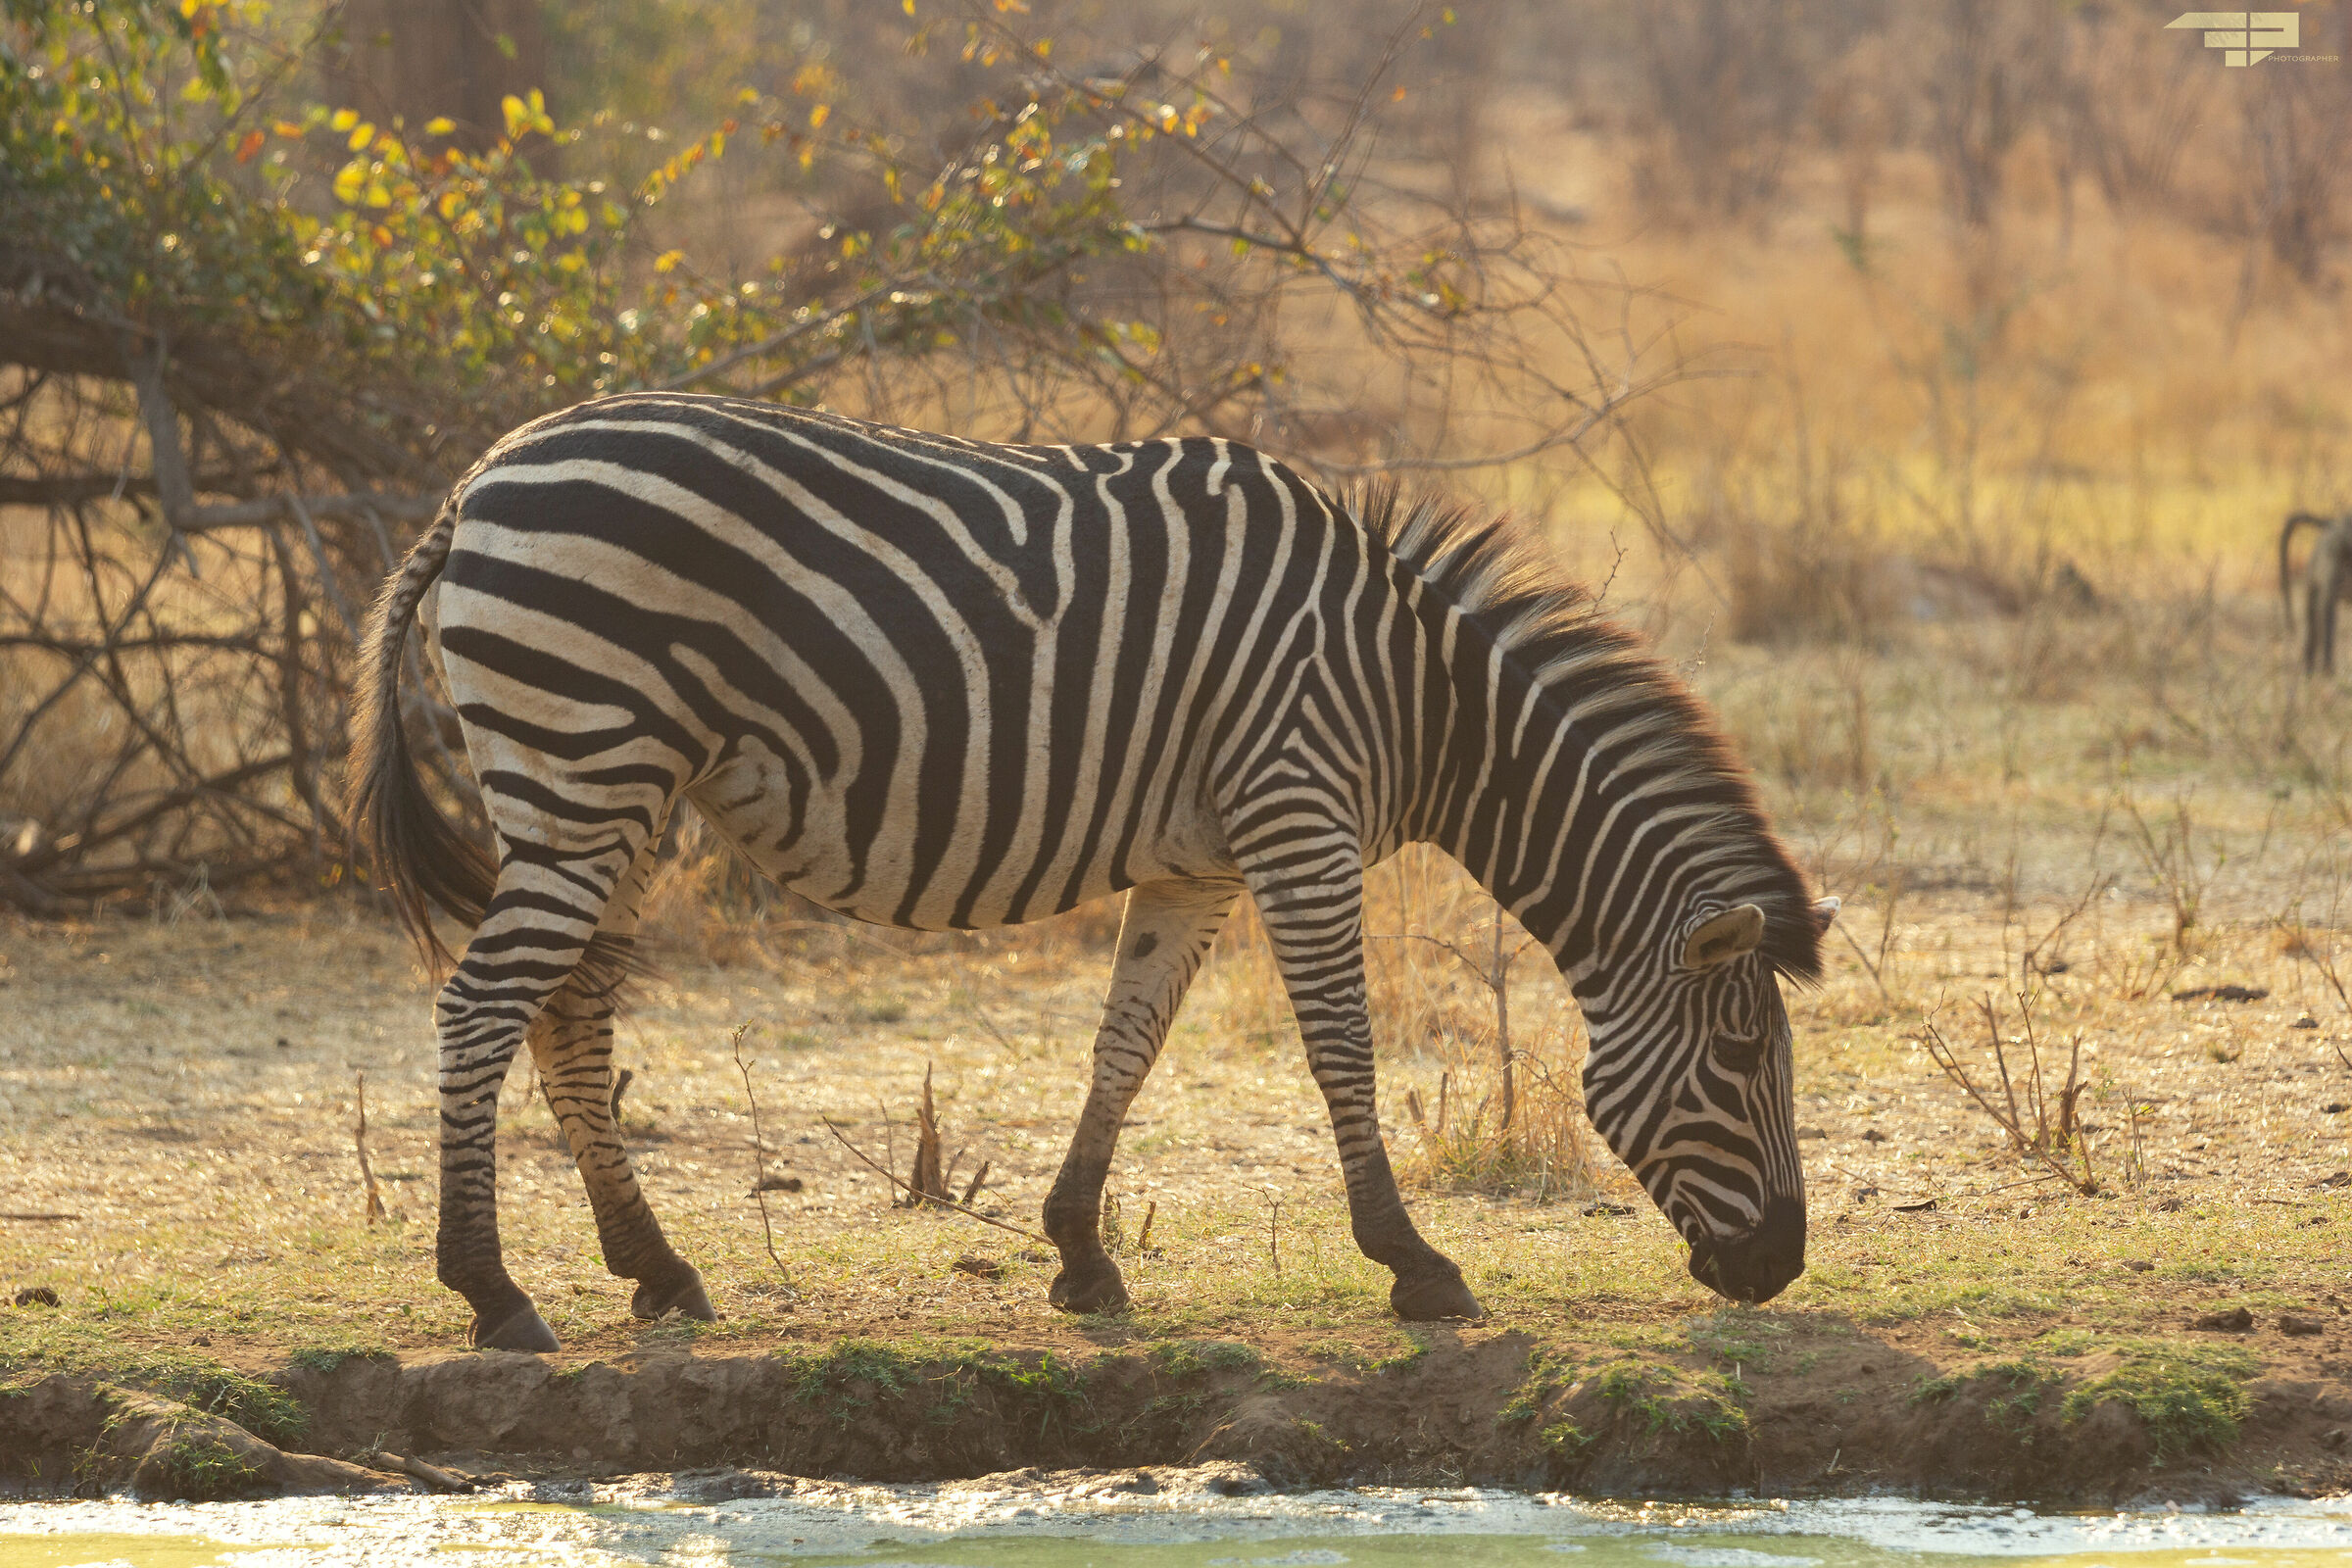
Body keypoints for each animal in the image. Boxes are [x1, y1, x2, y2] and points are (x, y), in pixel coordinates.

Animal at [349, 391, 1838, 1352]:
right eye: (1744, 1060)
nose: (1781, 1267)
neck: (1420, 695)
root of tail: (481, 476)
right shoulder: (1297, 813)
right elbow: (1340, 1045)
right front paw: (1414, 1265)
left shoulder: (1200, 863)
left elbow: (1129, 1040)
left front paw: (1079, 1253)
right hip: (586, 767)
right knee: (484, 1007)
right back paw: (491, 1293)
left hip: (617, 795)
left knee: (569, 1012)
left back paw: (655, 1270)